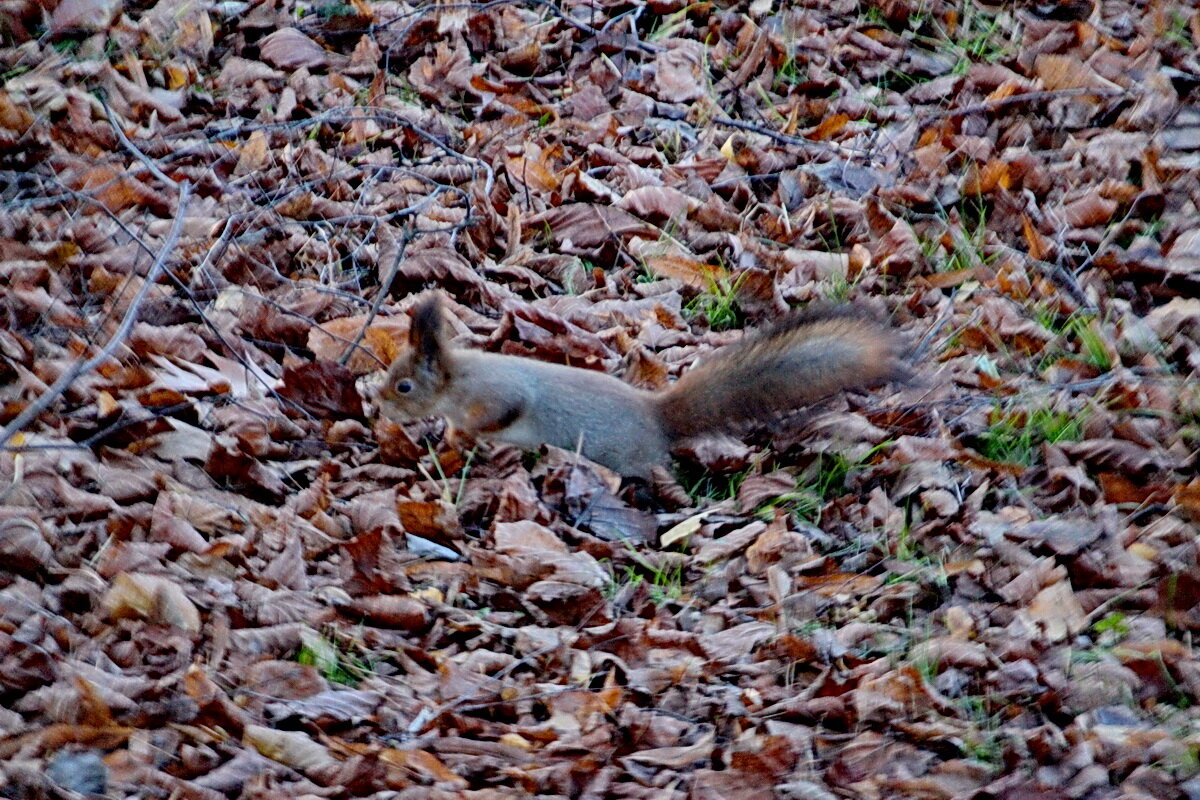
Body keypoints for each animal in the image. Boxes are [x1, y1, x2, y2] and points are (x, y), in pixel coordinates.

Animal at [372, 297, 902, 479]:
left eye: (404, 385)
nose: (377, 405)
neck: (457, 381)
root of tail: (657, 419)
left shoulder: (499, 392)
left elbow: (500, 414)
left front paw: (466, 435)